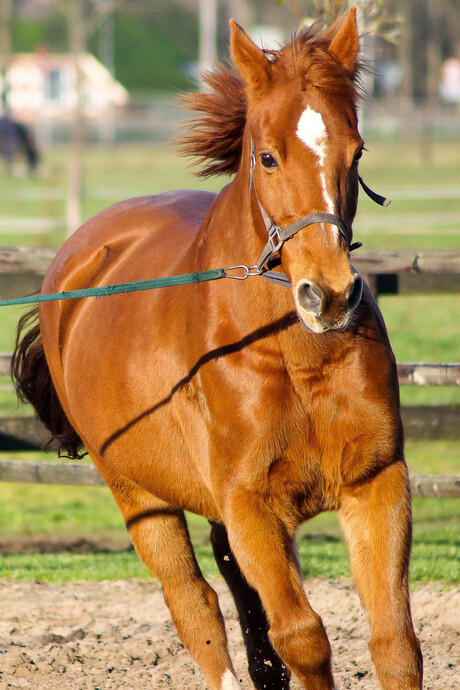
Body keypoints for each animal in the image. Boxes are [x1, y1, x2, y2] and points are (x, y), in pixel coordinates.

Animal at [11, 9, 420, 688]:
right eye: (268, 157)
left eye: (357, 151)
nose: (330, 296)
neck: (294, 359)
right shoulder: (250, 504)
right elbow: (303, 636)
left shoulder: (375, 482)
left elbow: (393, 642)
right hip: (139, 497)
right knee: (195, 604)